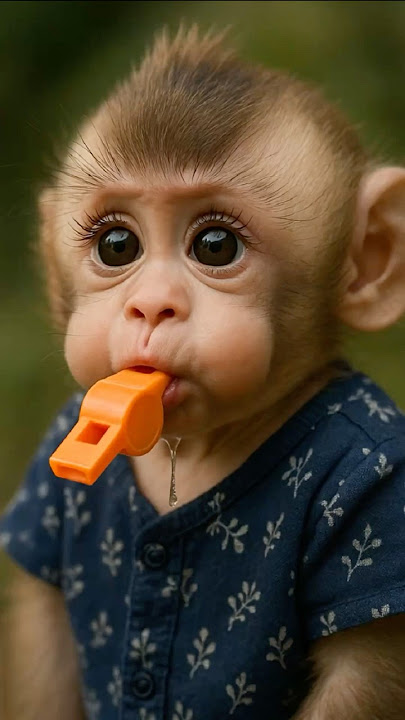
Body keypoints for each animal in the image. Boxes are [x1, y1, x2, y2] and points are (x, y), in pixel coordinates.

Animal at [1, 25, 405, 720]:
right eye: (117, 245)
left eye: (216, 245)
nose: (151, 306)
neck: (194, 450)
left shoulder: (377, 495)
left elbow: (363, 677)